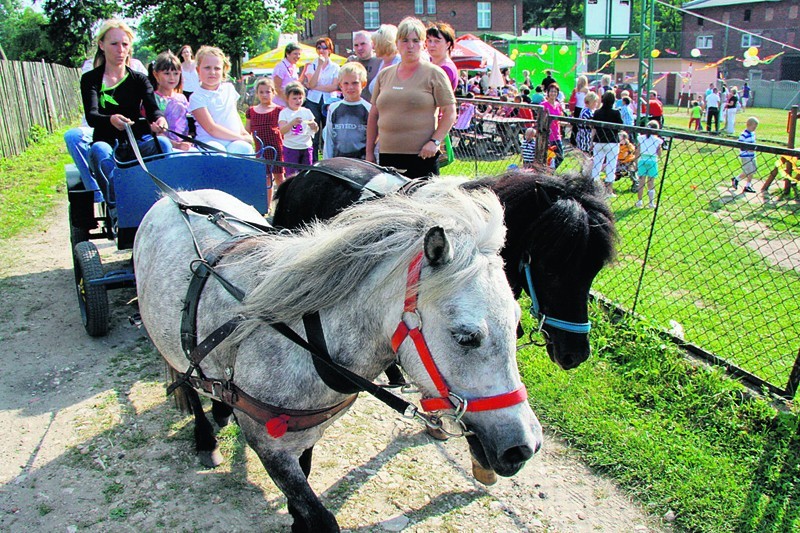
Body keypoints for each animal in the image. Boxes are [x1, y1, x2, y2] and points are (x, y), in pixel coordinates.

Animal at [134, 181, 544, 528]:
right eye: (466, 337)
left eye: (517, 325)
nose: (525, 447)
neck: (307, 342)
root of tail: (177, 198)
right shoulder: (269, 448)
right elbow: (318, 515)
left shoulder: (306, 436)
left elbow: (304, 485)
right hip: (163, 341)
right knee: (185, 383)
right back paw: (205, 437)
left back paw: (220, 407)